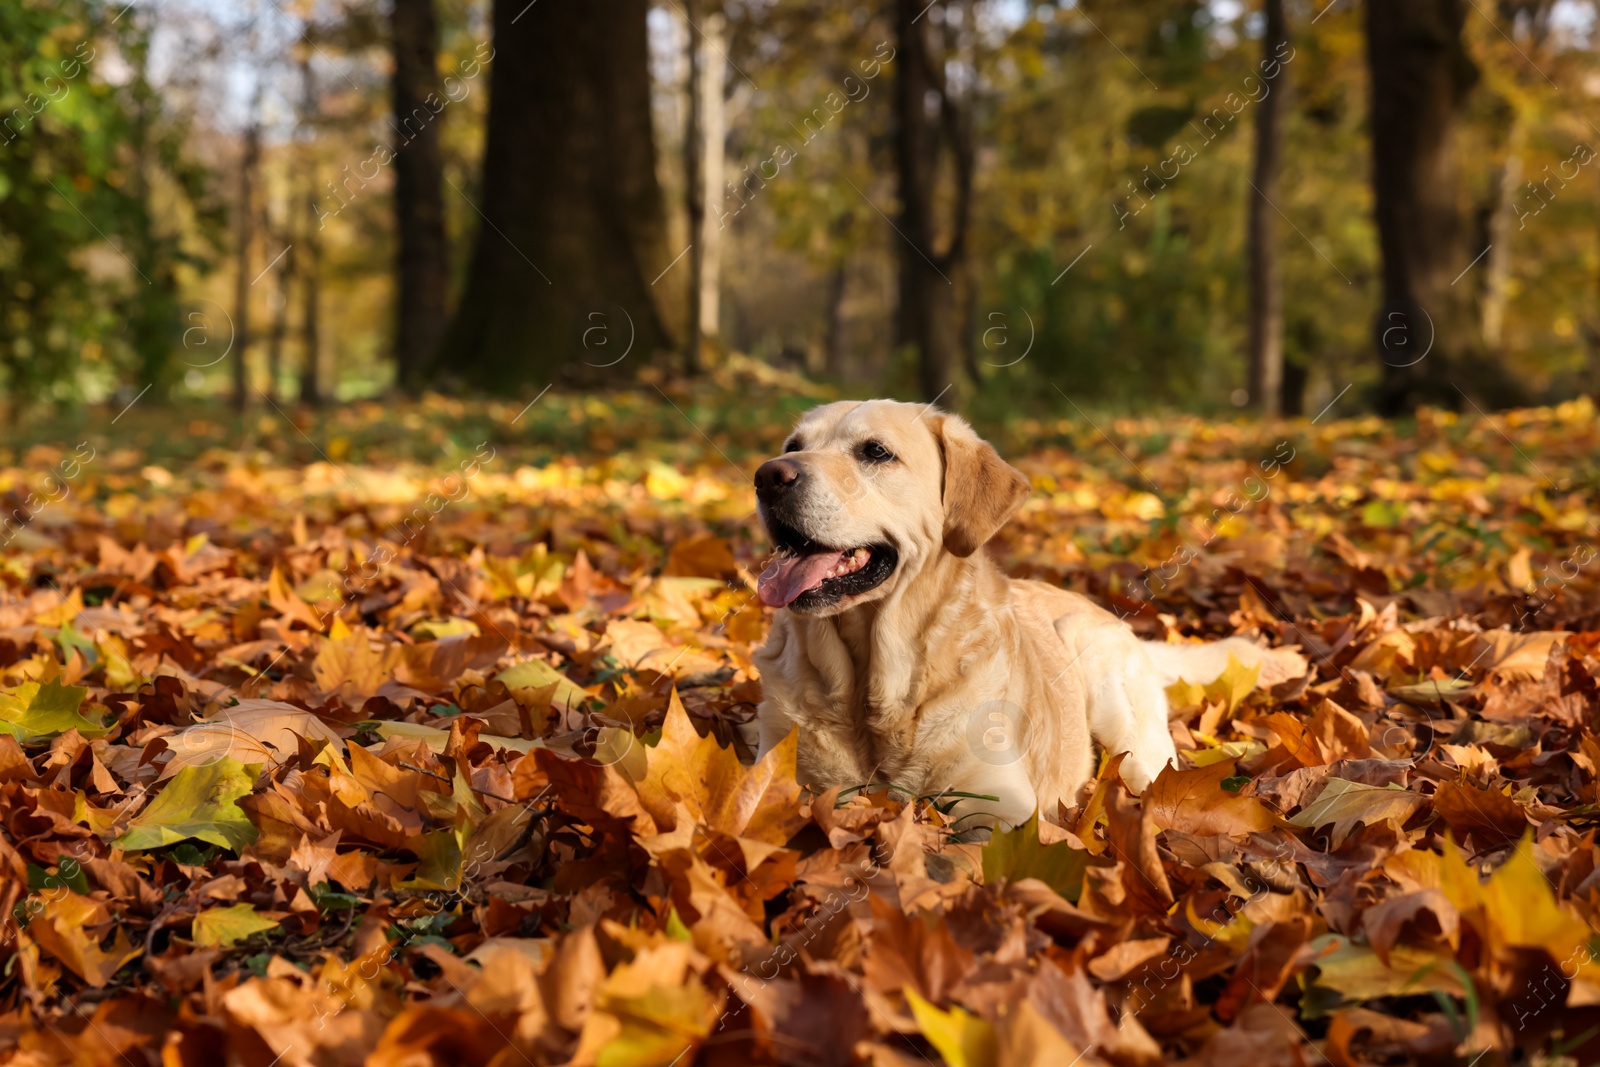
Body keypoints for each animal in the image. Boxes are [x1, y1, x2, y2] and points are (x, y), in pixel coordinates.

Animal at [755, 399, 1292, 825]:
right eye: (793, 443)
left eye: (875, 452)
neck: (875, 693)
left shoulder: (1001, 806)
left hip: (1121, 715)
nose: (769, 476)